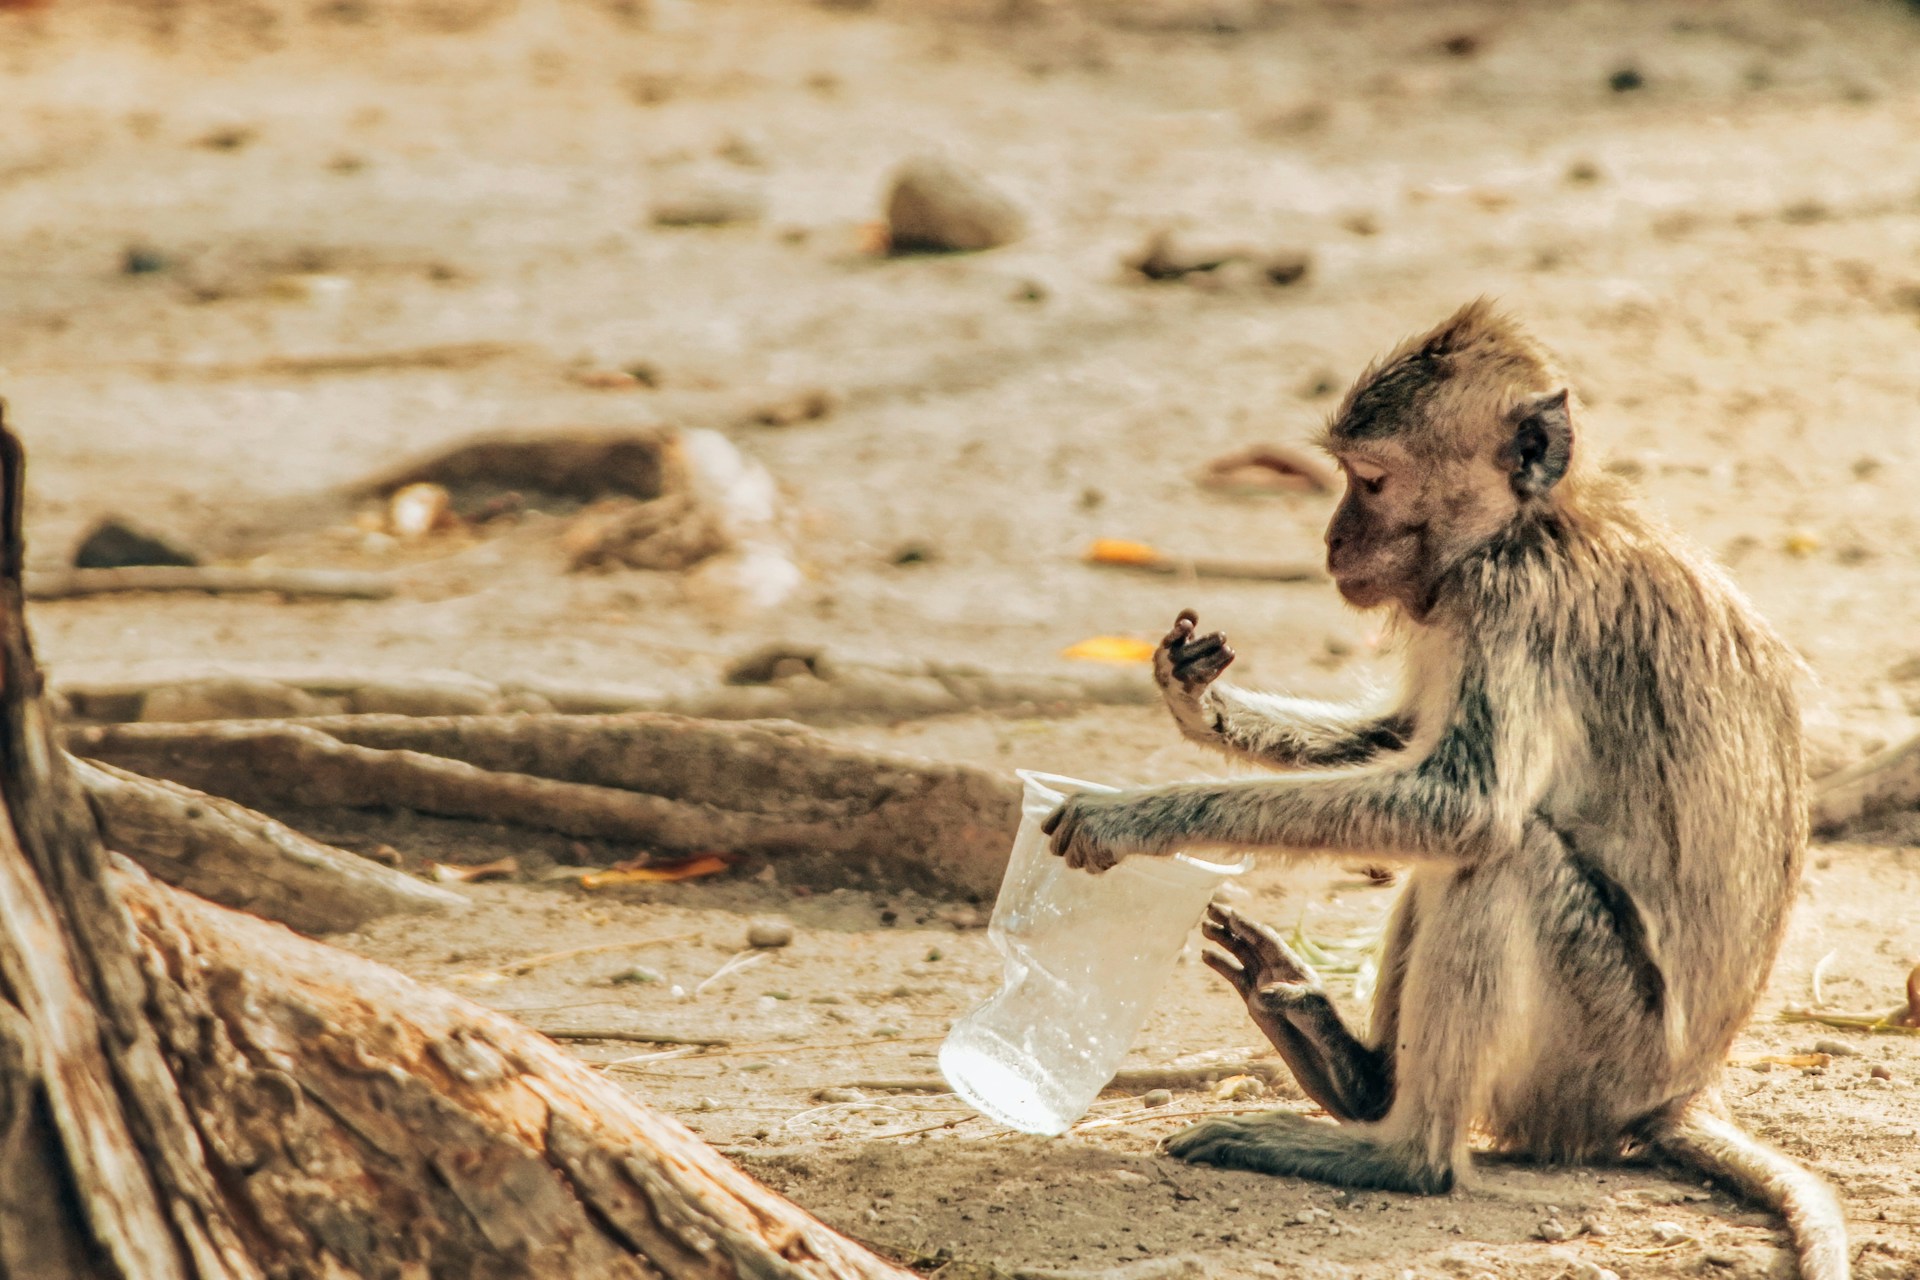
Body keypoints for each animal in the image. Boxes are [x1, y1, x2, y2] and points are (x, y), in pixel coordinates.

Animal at [1044, 303, 1850, 1280]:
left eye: (1371, 482)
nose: (1332, 542)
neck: (1533, 521)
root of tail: (1678, 1095)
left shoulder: (1513, 600)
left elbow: (1466, 809)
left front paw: (1140, 815)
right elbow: (1405, 742)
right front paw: (1205, 707)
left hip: (1594, 1060)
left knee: (1505, 858)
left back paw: (1403, 1155)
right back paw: (1350, 1072)